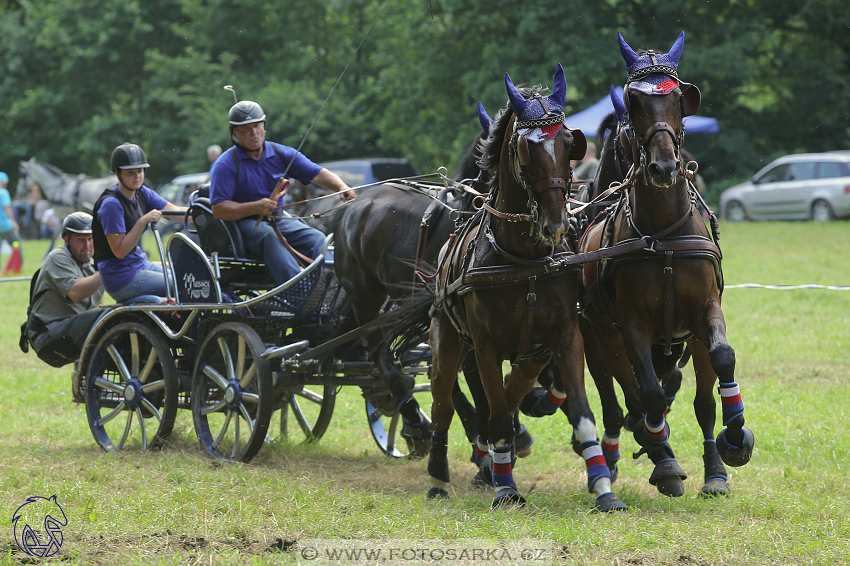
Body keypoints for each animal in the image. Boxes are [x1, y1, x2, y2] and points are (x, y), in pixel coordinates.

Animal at [580, 32, 752, 502]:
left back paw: (712, 468)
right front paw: (663, 454)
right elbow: (649, 395)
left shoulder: (704, 311)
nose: (663, 166)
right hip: (599, 337)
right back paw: (645, 449)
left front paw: (735, 437)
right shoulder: (632, 325)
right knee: (623, 398)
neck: (663, 235)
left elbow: (721, 364)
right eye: (634, 102)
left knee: (690, 399)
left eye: (677, 99)